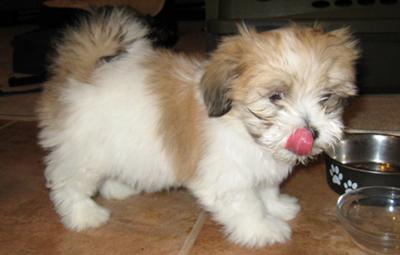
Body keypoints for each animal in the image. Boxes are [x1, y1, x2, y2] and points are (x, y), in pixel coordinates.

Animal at [36, 6, 360, 248]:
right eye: (275, 96)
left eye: (326, 97)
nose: (311, 132)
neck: (238, 121)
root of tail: (79, 74)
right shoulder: (225, 176)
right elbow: (247, 204)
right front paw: (263, 229)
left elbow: (266, 188)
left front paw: (278, 206)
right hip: (84, 152)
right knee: (69, 183)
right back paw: (83, 215)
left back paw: (118, 188)